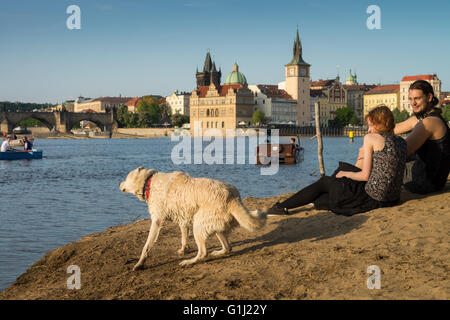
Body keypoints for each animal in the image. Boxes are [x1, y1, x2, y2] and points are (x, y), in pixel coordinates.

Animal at [119, 168, 268, 270]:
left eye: (126, 178)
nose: (119, 184)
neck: (149, 182)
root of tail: (233, 197)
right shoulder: (183, 219)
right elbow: (184, 237)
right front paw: (183, 249)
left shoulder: (157, 221)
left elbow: (146, 246)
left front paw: (139, 263)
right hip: (214, 225)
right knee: (228, 248)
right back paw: (217, 252)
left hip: (199, 225)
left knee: (203, 253)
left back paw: (189, 262)